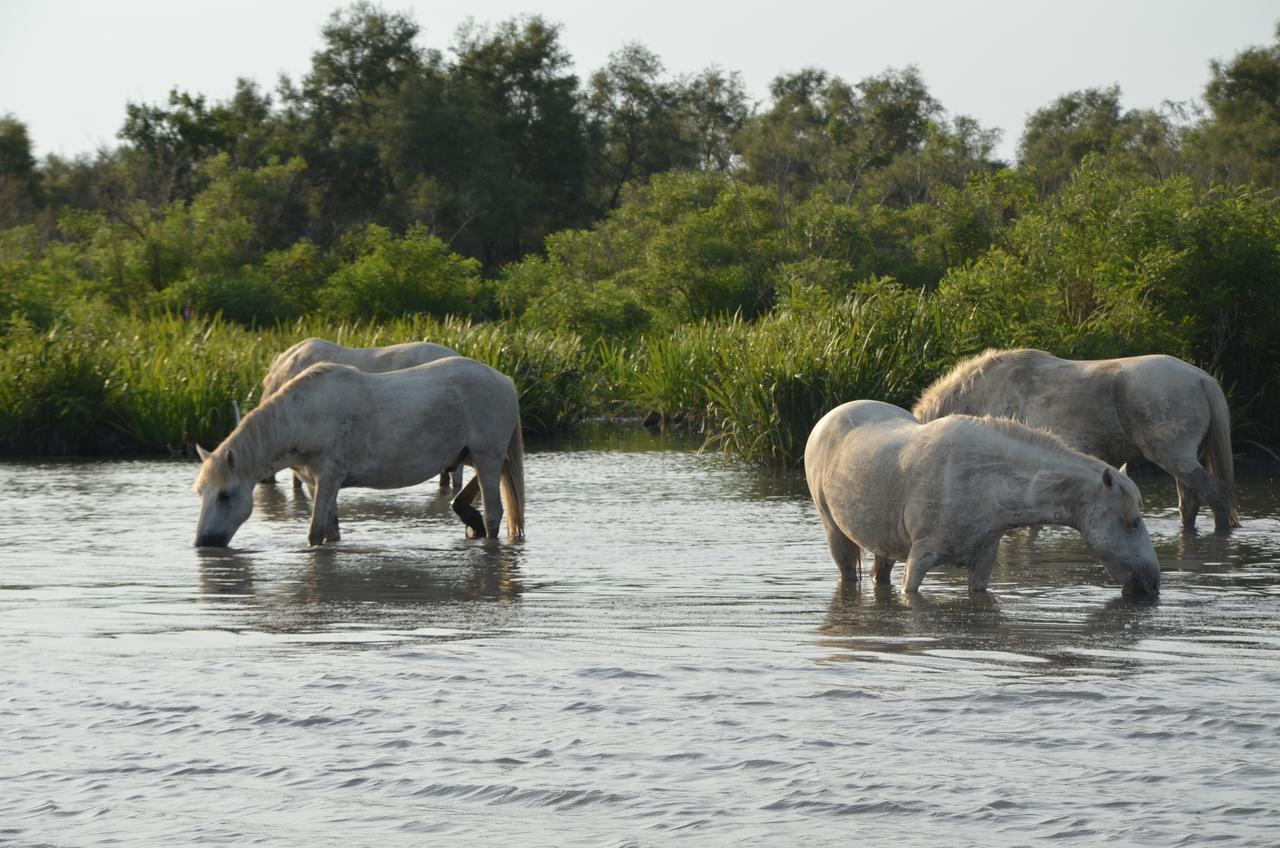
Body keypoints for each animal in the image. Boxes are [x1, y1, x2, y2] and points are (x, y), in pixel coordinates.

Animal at [195, 356, 524, 548]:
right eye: (201, 493)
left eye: (226, 495)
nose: (204, 542)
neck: (304, 418)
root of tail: (506, 380)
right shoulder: (317, 483)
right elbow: (331, 531)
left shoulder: (328, 479)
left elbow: (315, 533)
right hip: (473, 457)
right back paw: (469, 518)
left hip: (487, 457)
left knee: (494, 514)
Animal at [808, 399, 1162, 594]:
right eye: (1132, 522)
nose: (1153, 585)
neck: (984, 482)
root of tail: (829, 417)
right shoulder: (919, 559)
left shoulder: (982, 564)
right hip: (834, 532)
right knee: (847, 573)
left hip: (884, 543)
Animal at [916, 348, 1233, 527]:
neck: (986, 392)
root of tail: (1201, 378)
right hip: (1181, 462)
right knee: (1190, 504)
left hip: (1175, 458)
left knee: (1217, 495)